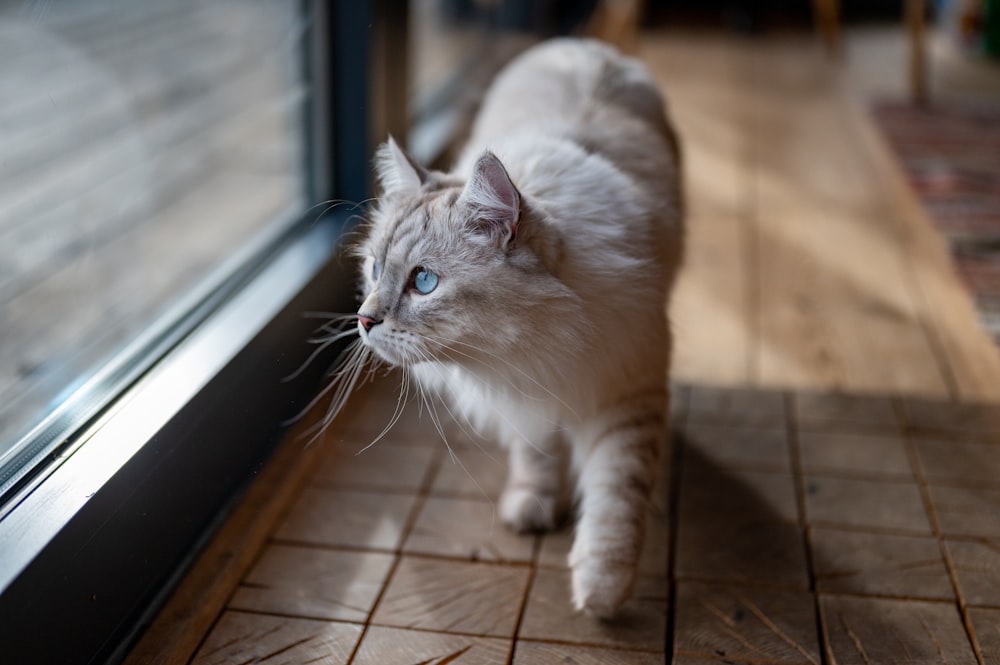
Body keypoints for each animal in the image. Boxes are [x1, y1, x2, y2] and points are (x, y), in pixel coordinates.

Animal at [350, 37, 680, 616]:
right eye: (373, 269)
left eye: (424, 282)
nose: (365, 319)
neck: (536, 344)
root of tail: (582, 45)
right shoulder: (525, 395)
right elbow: (537, 454)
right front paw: (532, 506)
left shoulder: (625, 393)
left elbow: (616, 501)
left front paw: (601, 592)